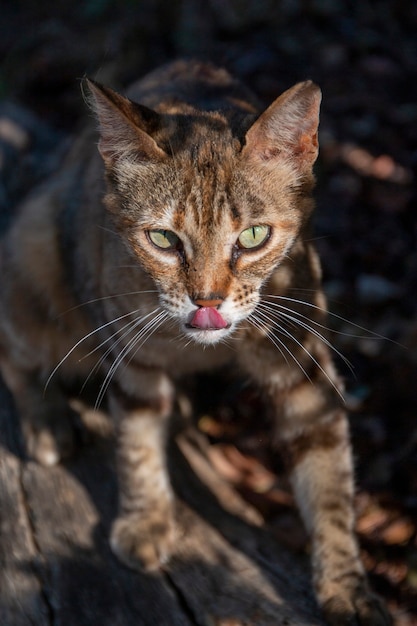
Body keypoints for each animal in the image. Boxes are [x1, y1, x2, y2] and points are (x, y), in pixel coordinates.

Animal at [0, 59, 390, 624]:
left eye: (253, 237)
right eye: (163, 239)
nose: (207, 300)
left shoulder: (301, 361)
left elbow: (330, 475)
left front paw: (345, 584)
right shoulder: (131, 351)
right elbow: (137, 441)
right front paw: (145, 521)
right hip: (32, 253)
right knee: (15, 357)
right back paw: (46, 421)